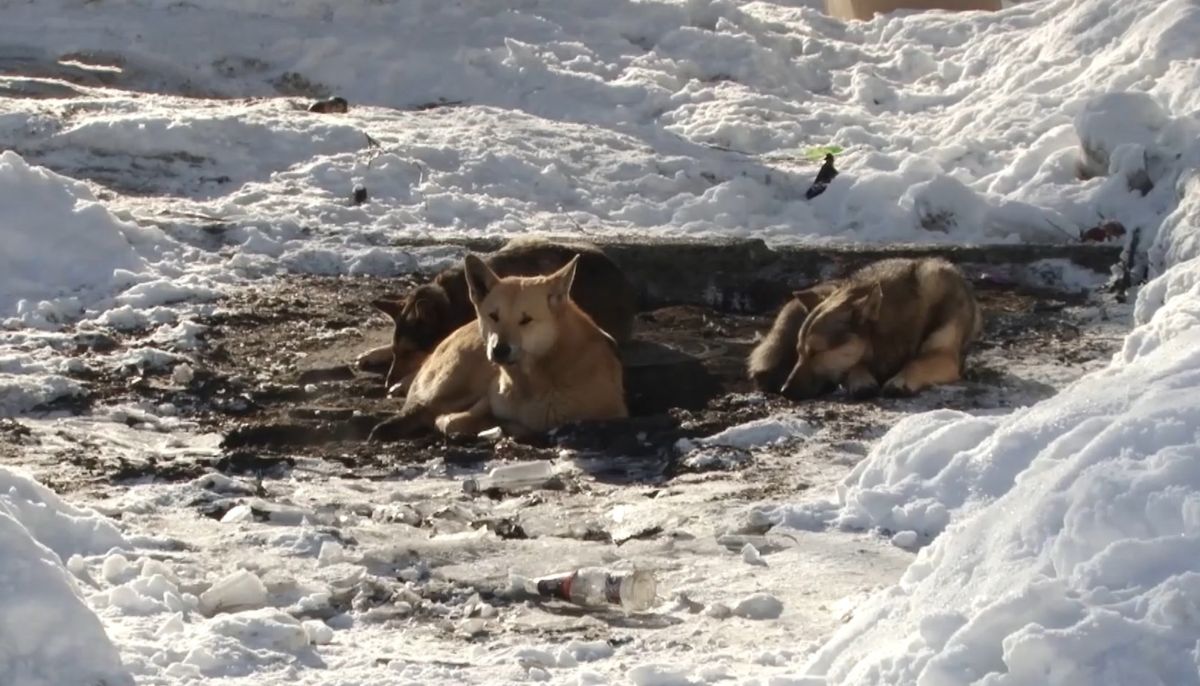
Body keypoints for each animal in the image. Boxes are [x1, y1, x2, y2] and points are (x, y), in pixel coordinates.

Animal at [369, 238, 643, 393]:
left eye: (410, 352)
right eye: (397, 351)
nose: (387, 382)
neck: (450, 302)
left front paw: (403, 381)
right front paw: (375, 353)